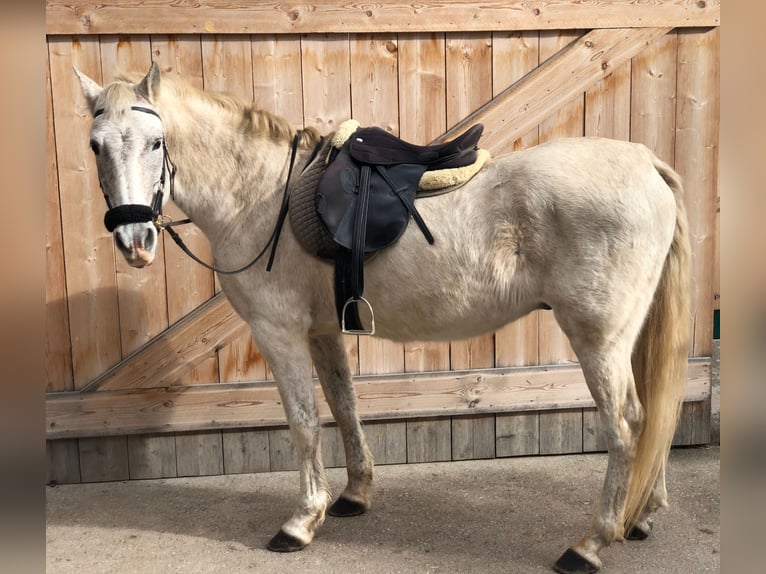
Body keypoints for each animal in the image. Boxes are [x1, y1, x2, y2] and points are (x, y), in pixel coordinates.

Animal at [75, 63, 692, 574]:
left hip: (599, 338)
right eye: (96, 145)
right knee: (653, 412)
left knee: (627, 424)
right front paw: (353, 495)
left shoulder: (279, 334)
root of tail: (646, 163)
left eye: (157, 142)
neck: (261, 195)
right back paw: (641, 515)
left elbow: (303, 422)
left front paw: (301, 522)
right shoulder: (323, 332)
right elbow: (344, 407)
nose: (135, 240)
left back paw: (591, 543)